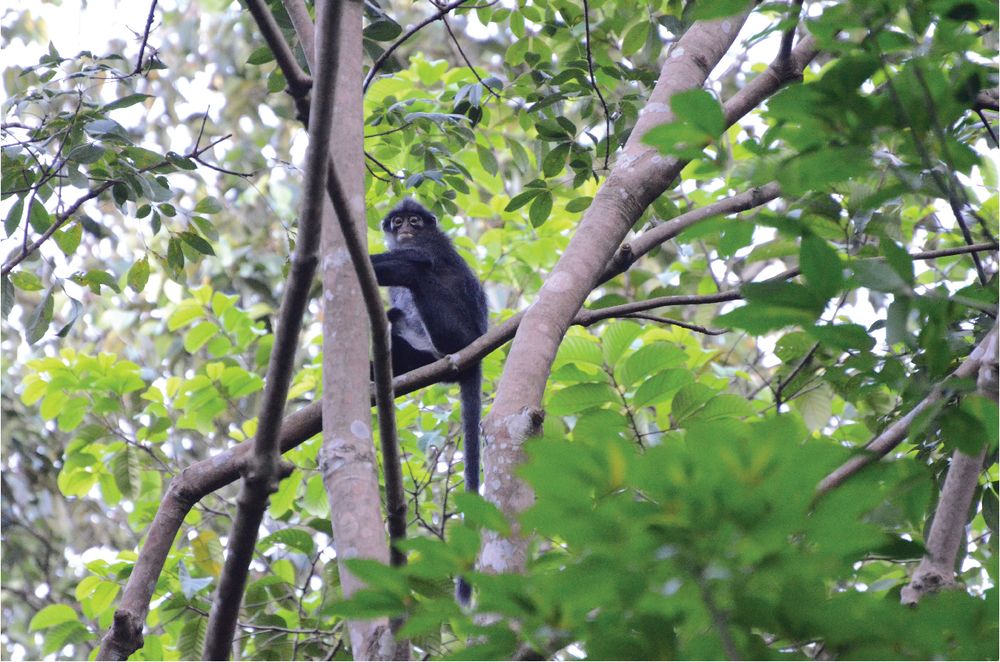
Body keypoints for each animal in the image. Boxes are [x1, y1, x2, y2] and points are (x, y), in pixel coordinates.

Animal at [372, 197, 488, 608]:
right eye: (399, 221)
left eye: (416, 221)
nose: (406, 227)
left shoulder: (429, 246)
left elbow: (411, 262)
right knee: (396, 314)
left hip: (455, 331)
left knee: (414, 274)